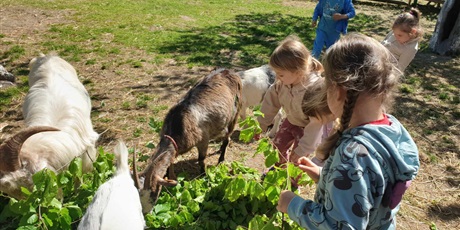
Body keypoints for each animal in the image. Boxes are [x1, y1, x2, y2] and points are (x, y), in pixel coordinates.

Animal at [137, 68, 243, 214]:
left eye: (152, 195)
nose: (145, 213)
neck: (179, 124)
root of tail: (228, 71)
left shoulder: (203, 140)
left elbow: (201, 159)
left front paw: (203, 175)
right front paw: (170, 175)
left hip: (235, 112)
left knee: (227, 137)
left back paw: (221, 158)